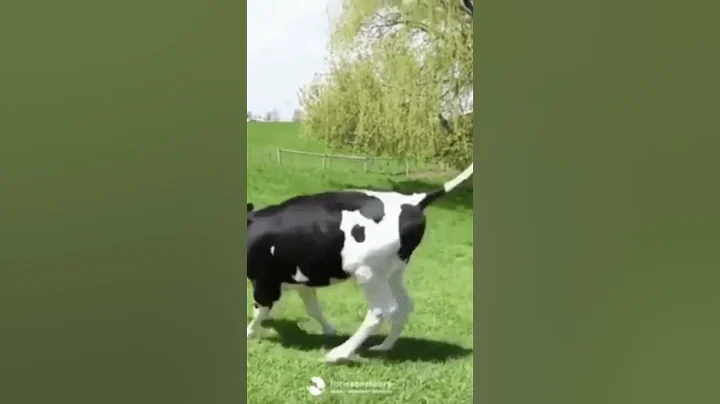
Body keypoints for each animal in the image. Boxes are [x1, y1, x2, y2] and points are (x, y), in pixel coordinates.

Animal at [246, 162, 473, 363]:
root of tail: (414, 201)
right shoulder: (302, 280)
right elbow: (313, 309)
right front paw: (330, 330)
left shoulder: (265, 281)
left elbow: (260, 310)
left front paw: (249, 332)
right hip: (392, 271)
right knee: (404, 305)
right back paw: (383, 346)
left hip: (368, 271)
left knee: (380, 311)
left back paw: (339, 354)